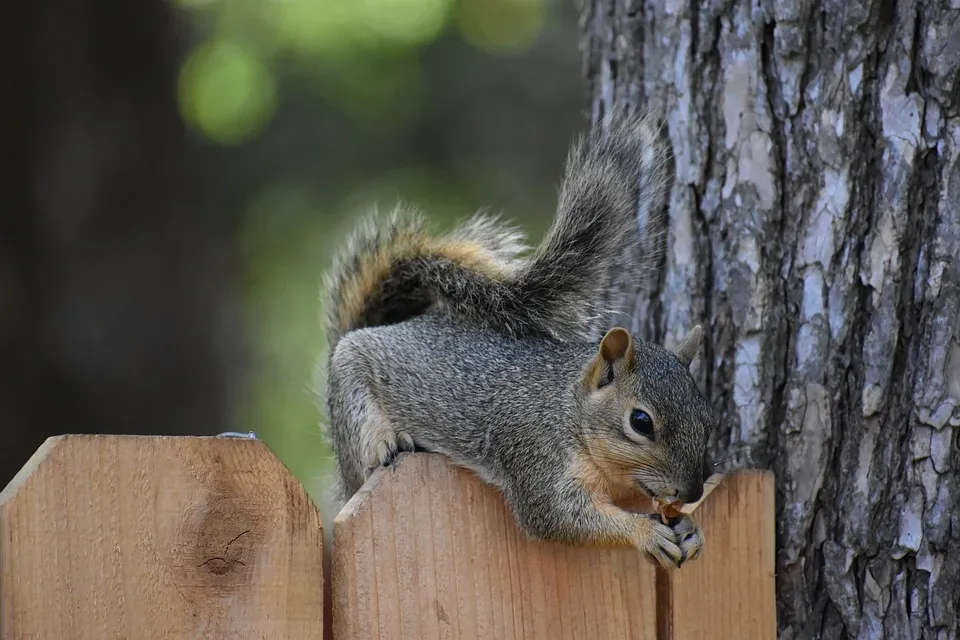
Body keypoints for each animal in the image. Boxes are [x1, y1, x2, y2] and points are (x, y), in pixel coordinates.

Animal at [318, 111, 716, 568]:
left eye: (708, 419)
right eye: (641, 422)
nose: (692, 492)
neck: (569, 408)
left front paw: (691, 528)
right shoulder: (536, 455)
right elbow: (557, 517)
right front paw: (645, 533)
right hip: (353, 395)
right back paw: (389, 445)